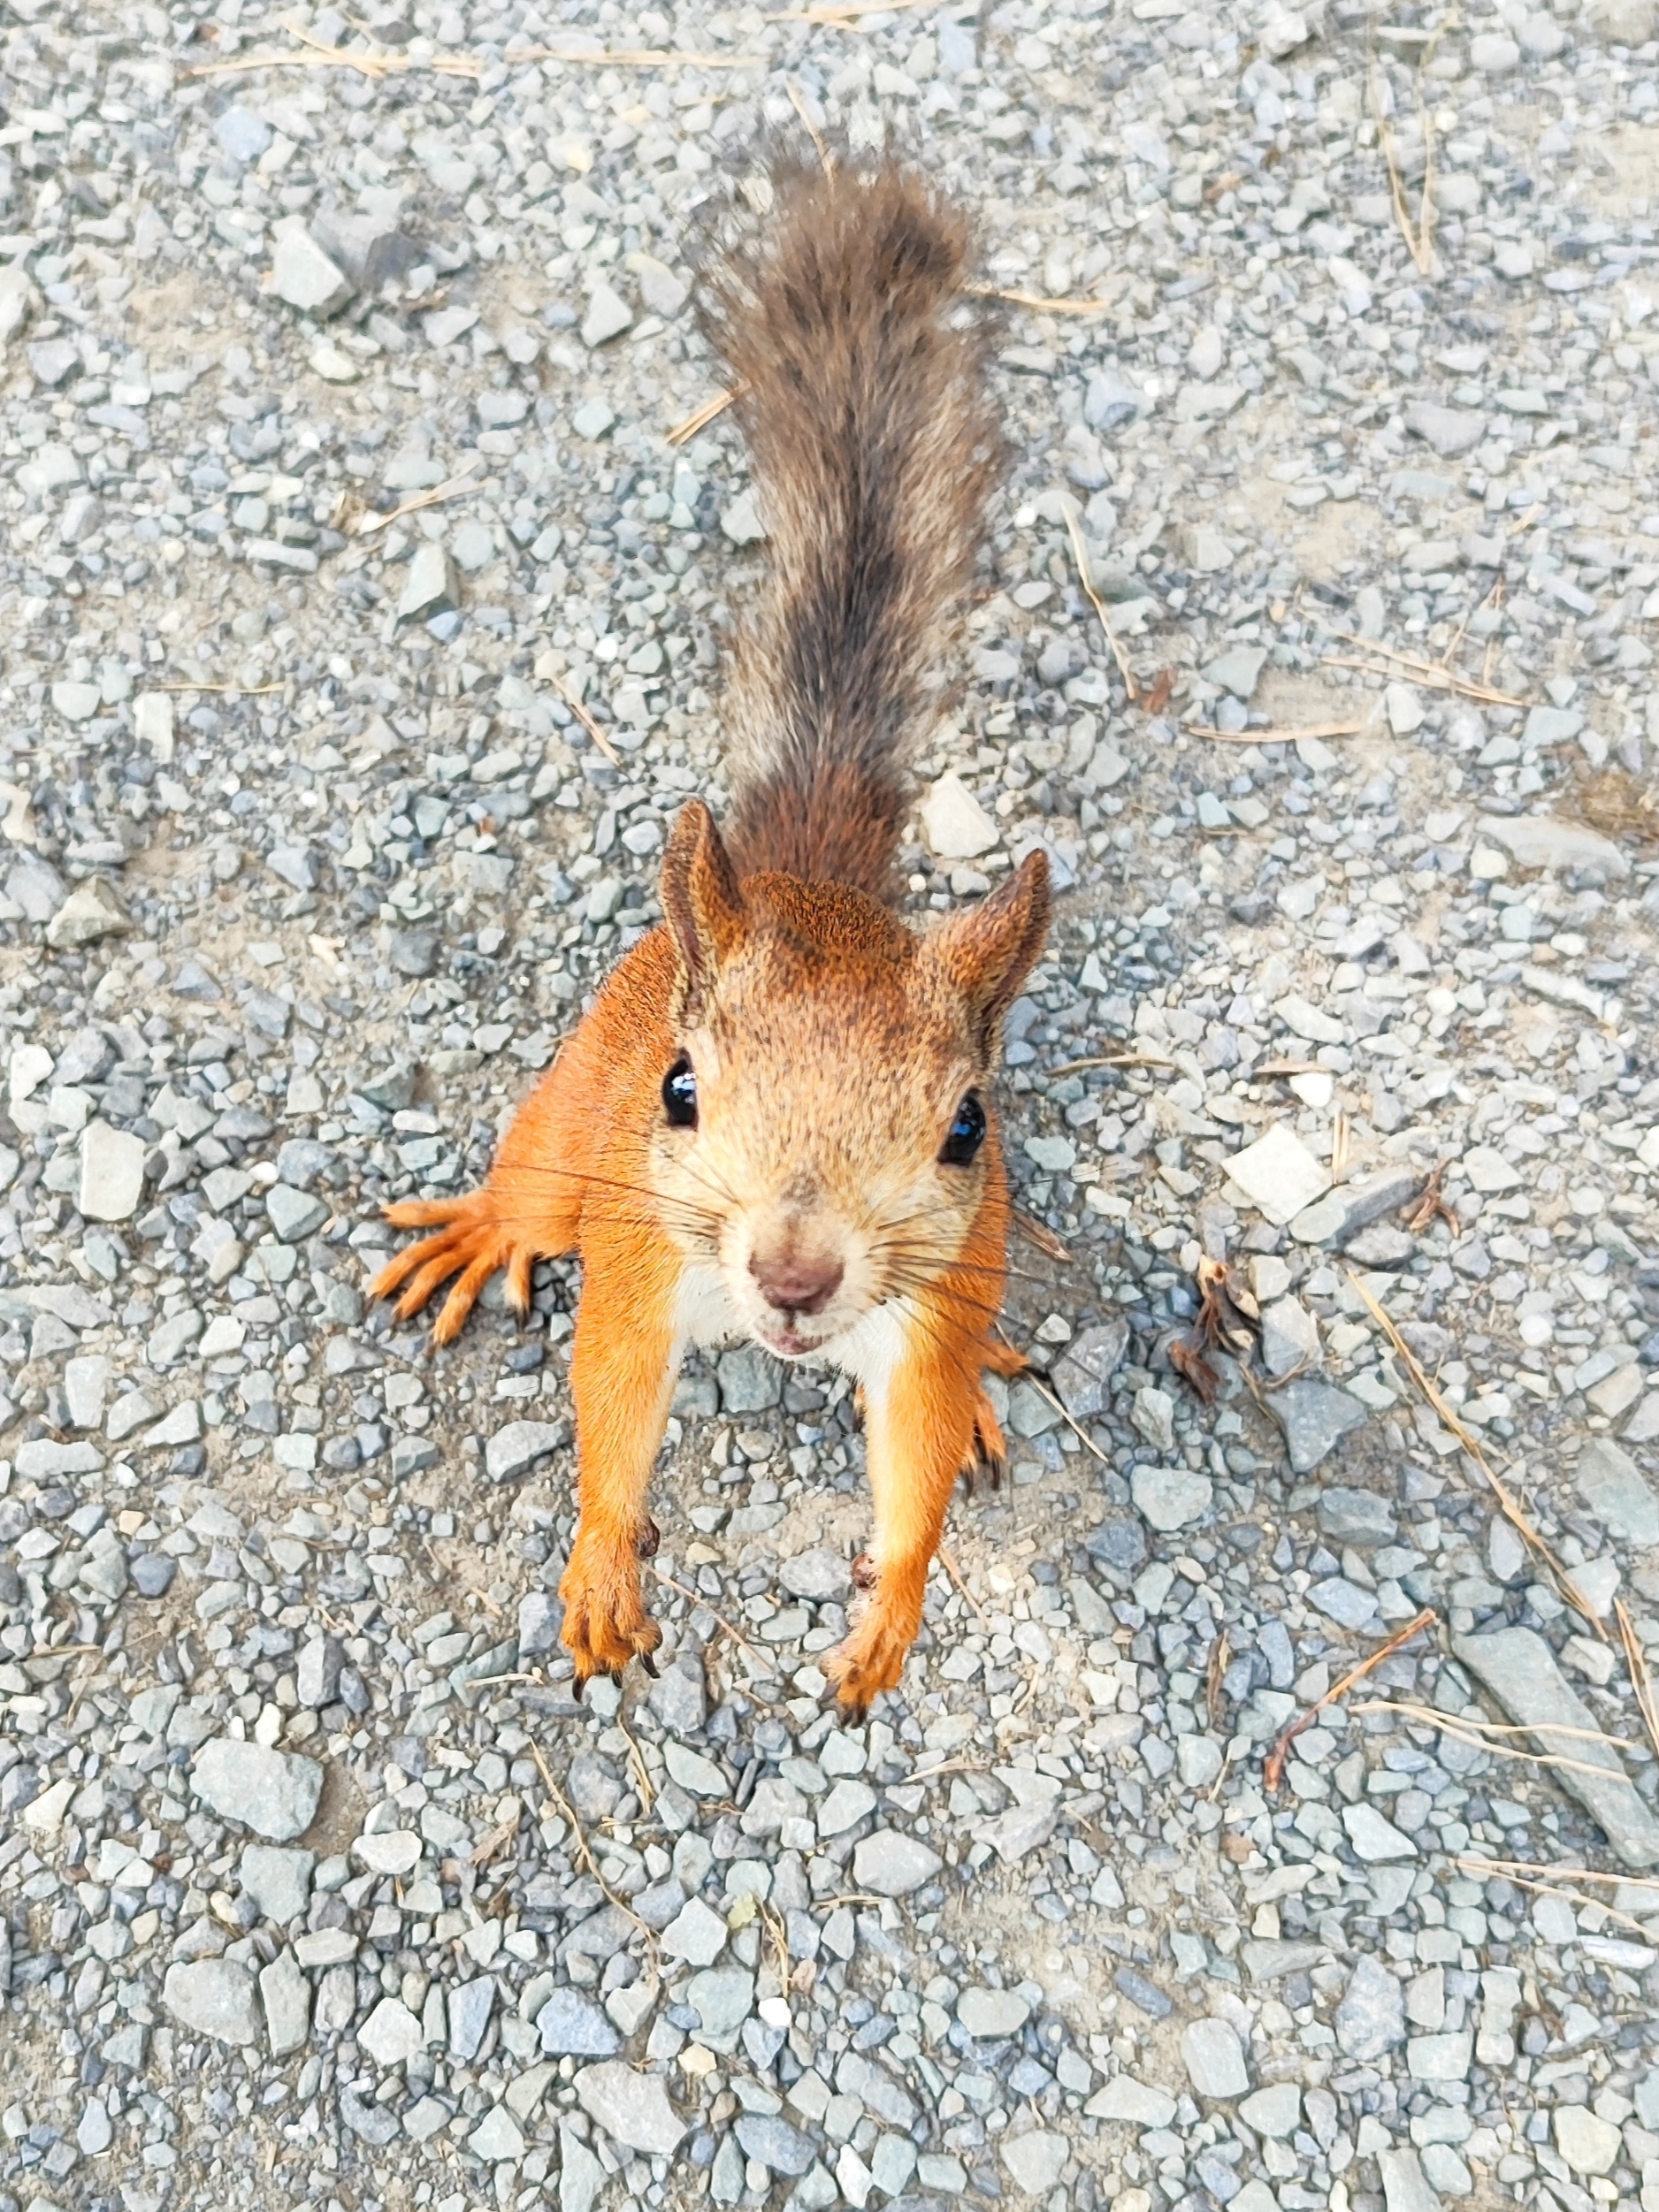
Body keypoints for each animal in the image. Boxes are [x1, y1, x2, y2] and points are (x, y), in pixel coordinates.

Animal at [372, 153, 1051, 1718]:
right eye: (686, 1090)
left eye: (966, 1127)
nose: (795, 1276)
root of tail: (796, 870)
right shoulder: (637, 1250)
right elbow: (615, 1400)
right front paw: (602, 1567)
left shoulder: (929, 1309)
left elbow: (918, 1451)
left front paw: (890, 1619)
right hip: (583, 1099)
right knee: (537, 1172)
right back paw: (487, 1225)